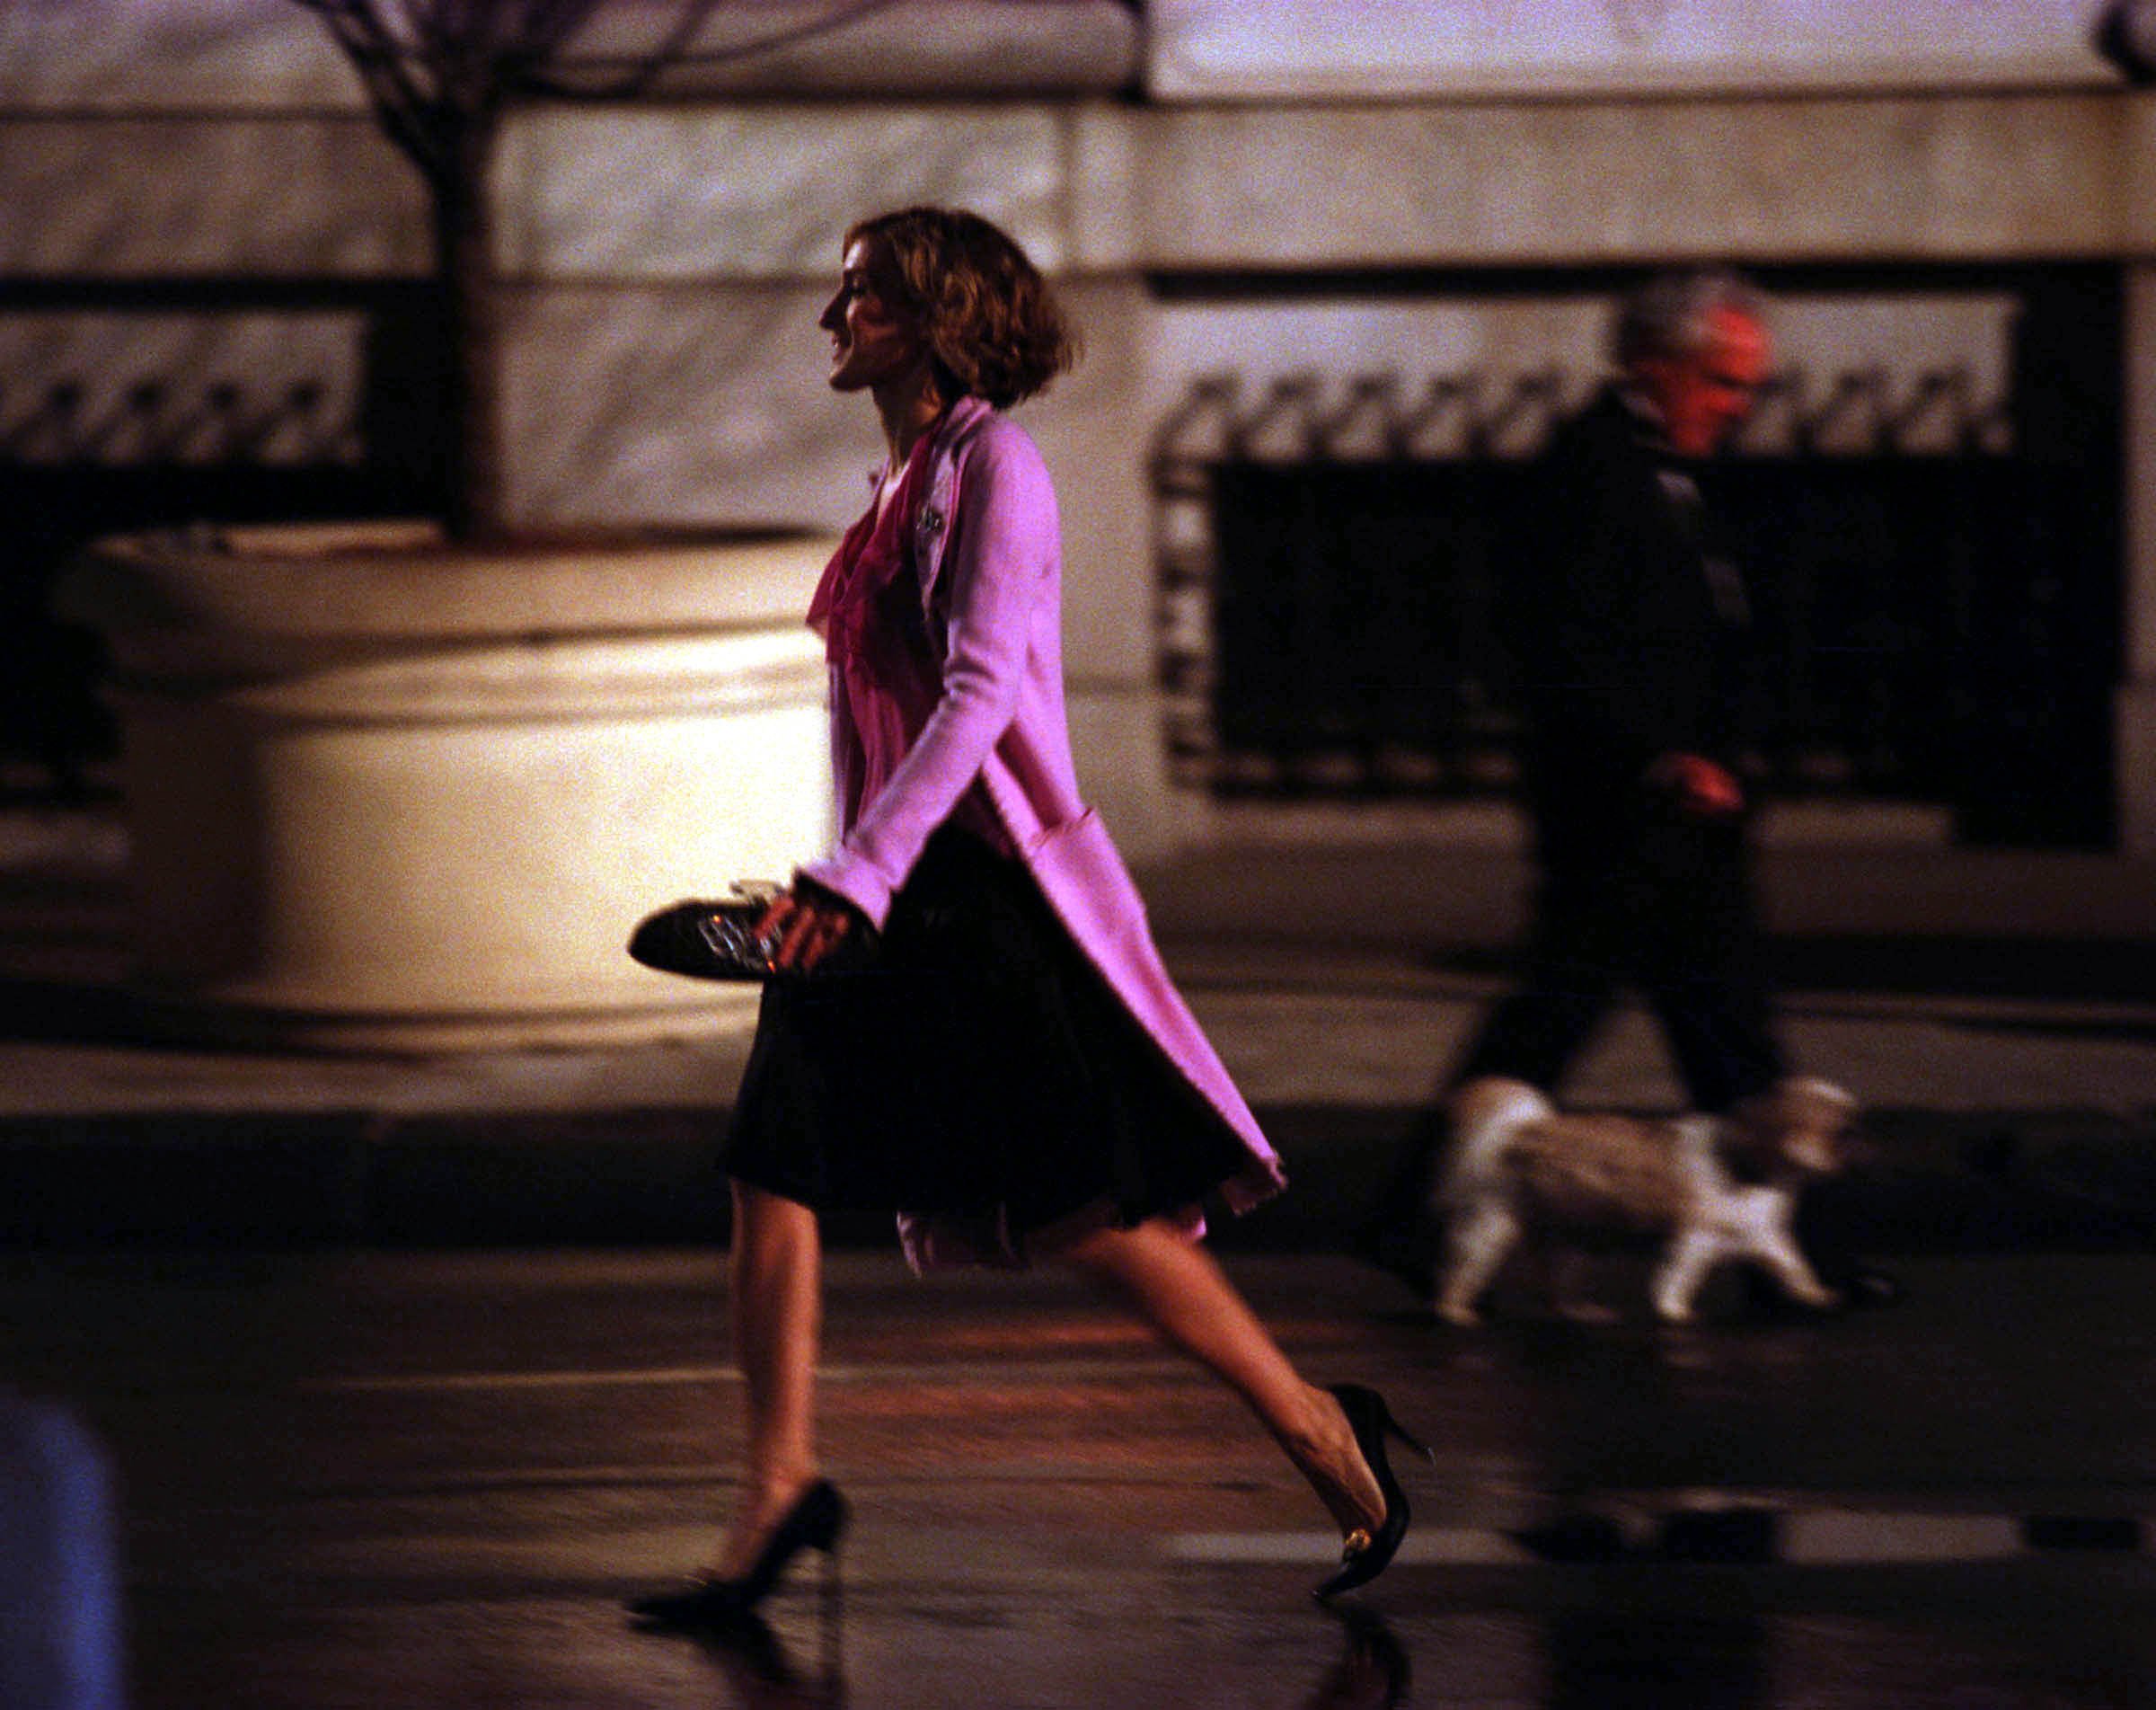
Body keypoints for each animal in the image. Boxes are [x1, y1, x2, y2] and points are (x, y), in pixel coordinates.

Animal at [1431, 1074, 1854, 1328]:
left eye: (1843, 1126)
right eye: (1830, 1129)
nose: (1852, 1137)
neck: (1743, 1161)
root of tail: (1516, 1131)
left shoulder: (1762, 1236)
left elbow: (1794, 1267)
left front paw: (1816, 1294)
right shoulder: (1694, 1236)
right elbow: (1678, 1276)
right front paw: (1675, 1311)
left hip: (1570, 1240)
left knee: (1558, 1284)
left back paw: (1579, 1310)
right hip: (1490, 1230)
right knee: (1461, 1270)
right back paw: (1455, 1311)